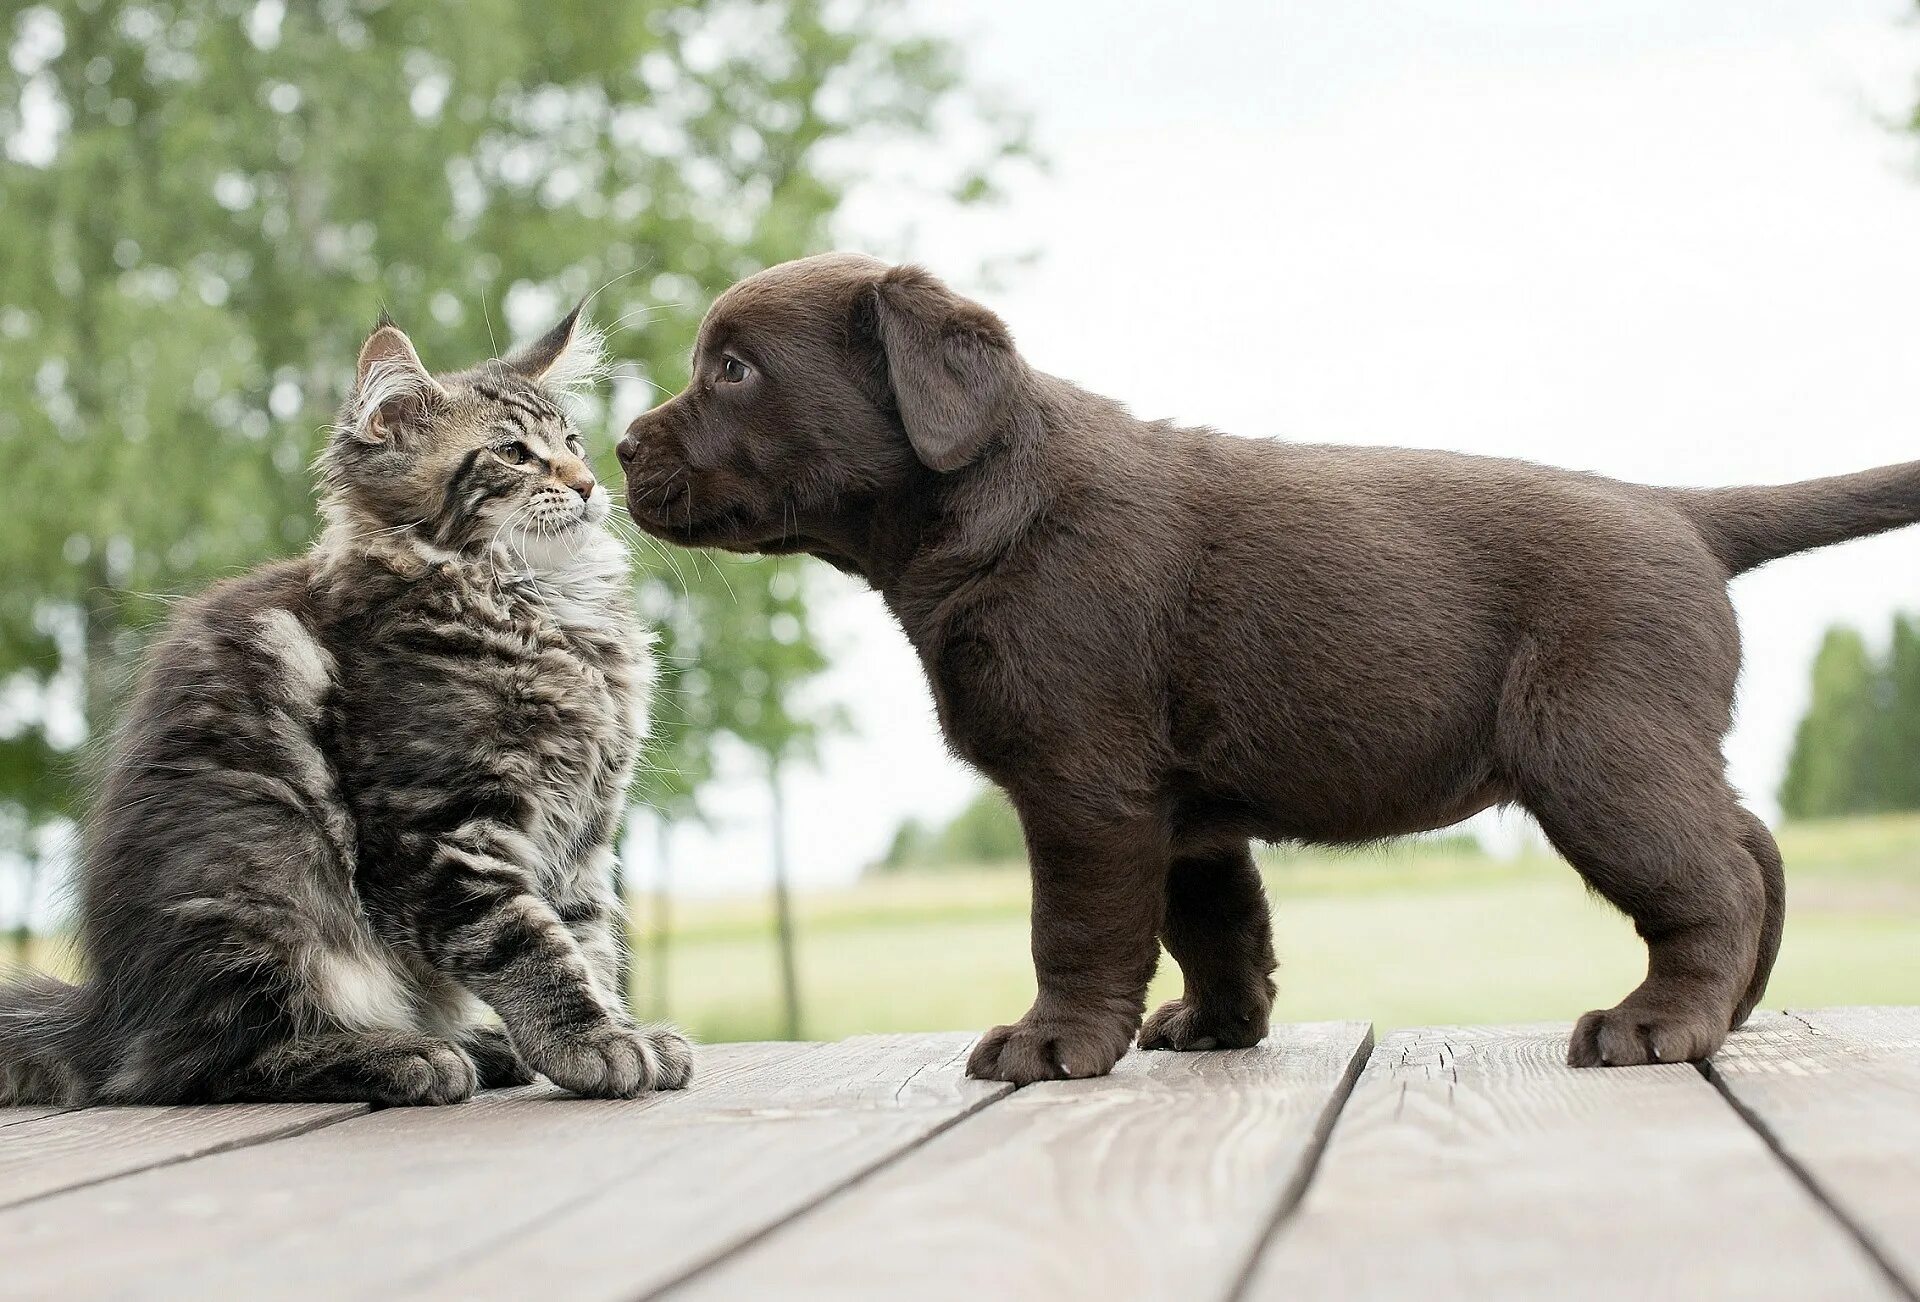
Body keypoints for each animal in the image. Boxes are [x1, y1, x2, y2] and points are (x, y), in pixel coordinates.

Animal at [0, 309, 691, 1113]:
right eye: (513, 453)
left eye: (574, 444)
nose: (588, 484)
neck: (542, 607)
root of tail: (110, 1017)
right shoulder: (443, 830)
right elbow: (527, 945)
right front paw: (592, 1043)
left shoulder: (582, 834)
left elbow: (588, 941)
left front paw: (617, 1027)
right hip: (265, 879)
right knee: (201, 1068)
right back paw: (407, 1055)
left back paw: (478, 1045)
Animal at [622, 251, 1920, 1083]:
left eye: (734, 370)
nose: (623, 446)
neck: (994, 499)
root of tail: (1681, 512)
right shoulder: (1181, 811)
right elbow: (1217, 925)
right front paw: (1216, 1025)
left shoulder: (1084, 787)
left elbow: (1075, 930)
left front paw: (1051, 1046)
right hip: (1643, 747)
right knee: (1751, 845)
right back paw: (1732, 1012)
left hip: (1597, 752)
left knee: (1715, 878)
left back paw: (1658, 1025)